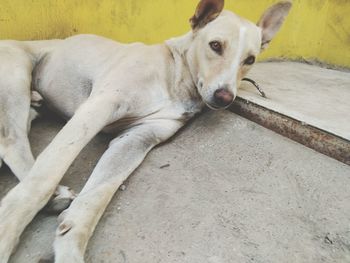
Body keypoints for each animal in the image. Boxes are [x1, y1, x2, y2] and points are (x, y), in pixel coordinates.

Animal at [0, 1, 292, 262]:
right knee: (13, 143)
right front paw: (7, 231)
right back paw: (51, 196)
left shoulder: (137, 139)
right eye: (216, 46)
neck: (174, 76)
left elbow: (95, 198)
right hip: (16, 76)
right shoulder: (98, 107)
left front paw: (70, 248)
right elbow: (46, 174)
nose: (225, 97)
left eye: (250, 59)